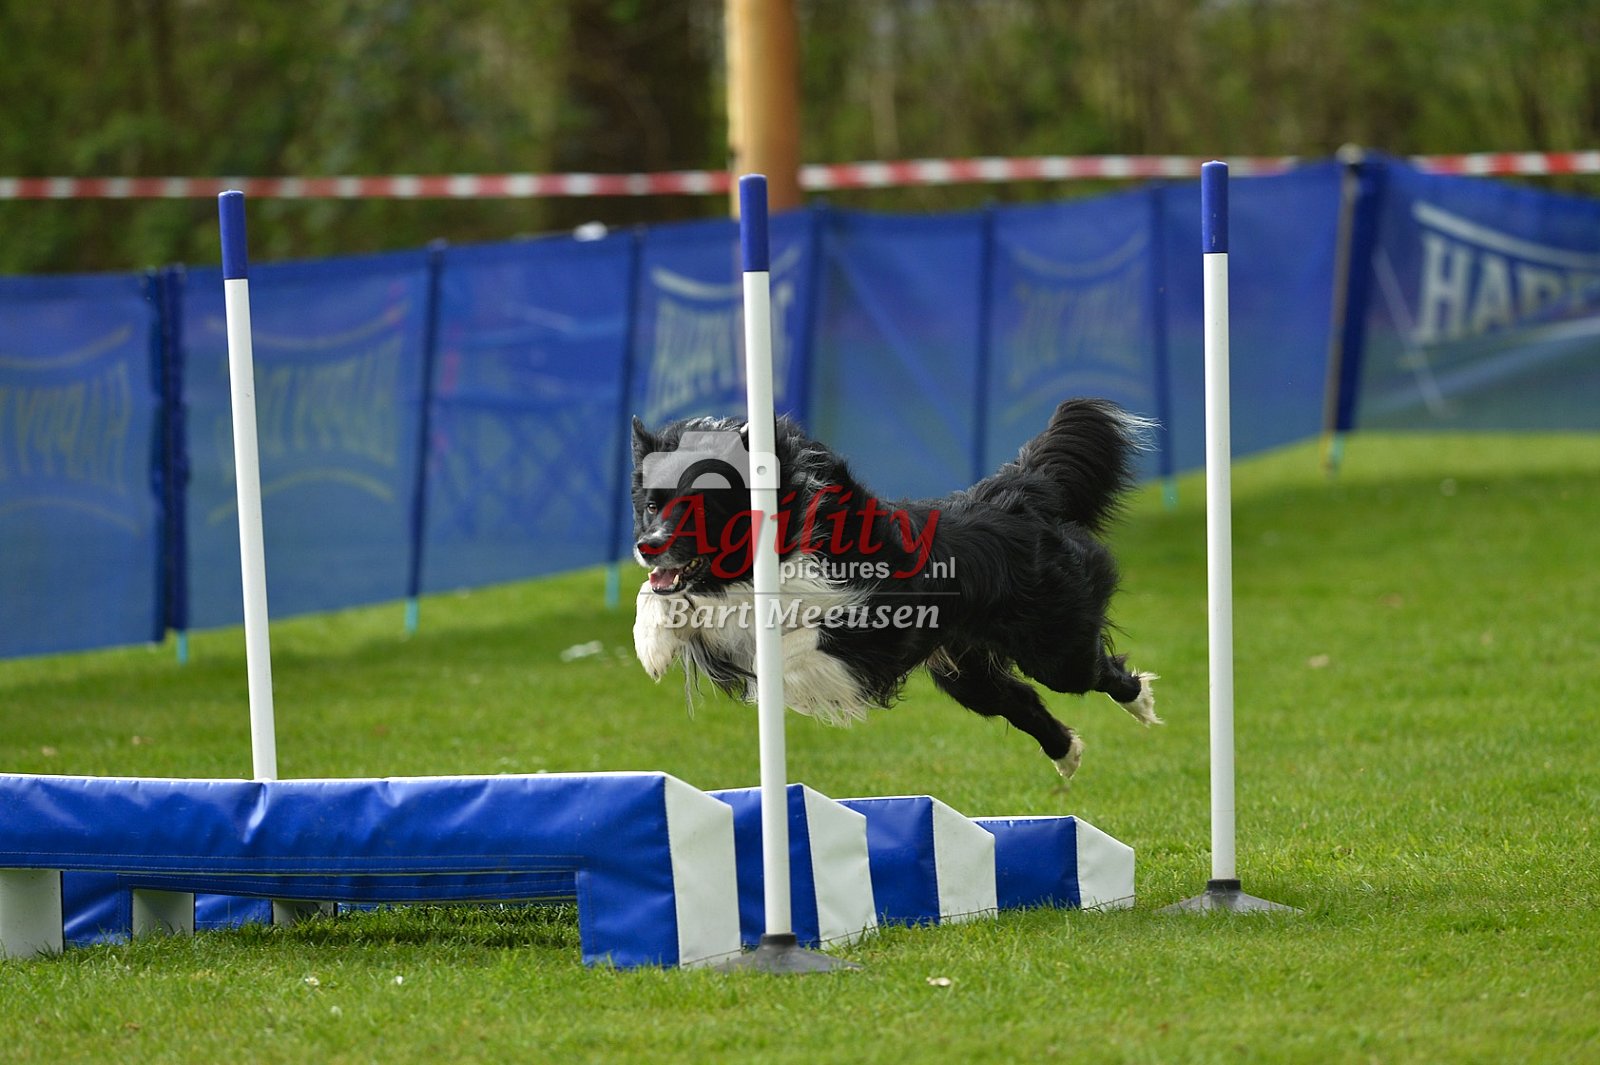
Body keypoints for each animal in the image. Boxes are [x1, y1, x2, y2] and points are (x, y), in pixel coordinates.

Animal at [629, 397, 1158, 779]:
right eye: (652, 505)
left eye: (701, 506)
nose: (647, 547)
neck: (783, 536)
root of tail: (1018, 493)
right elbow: (657, 597)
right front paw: (652, 647)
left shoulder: (874, 629)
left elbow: (793, 643)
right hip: (967, 673)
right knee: (1020, 700)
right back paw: (1067, 755)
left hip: (1052, 645)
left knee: (1095, 671)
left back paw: (1142, 704)